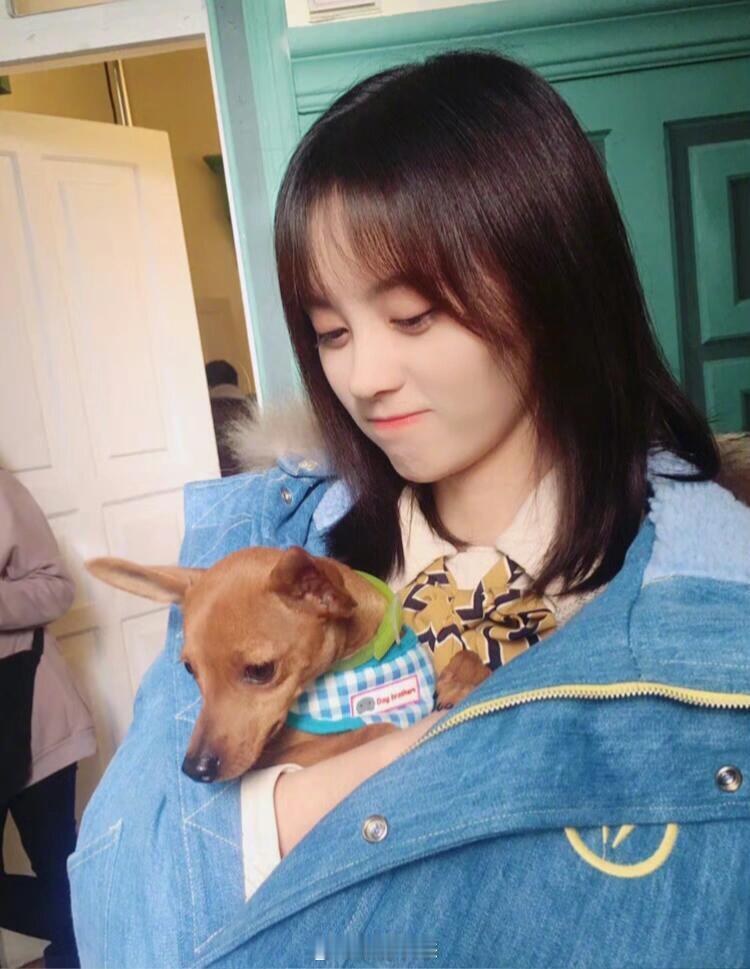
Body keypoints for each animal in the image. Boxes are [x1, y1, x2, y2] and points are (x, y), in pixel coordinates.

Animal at [87, 545, 489, 783]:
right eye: (190, 670)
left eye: (260, 670)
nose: (194, 770)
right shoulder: (296, 753)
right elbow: (372, 731)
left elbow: (469, 659)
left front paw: (462, 678)